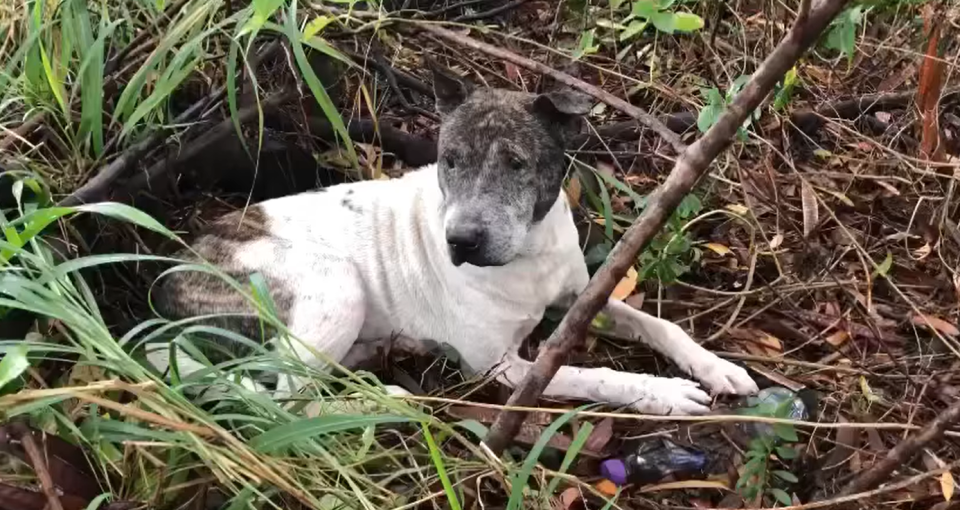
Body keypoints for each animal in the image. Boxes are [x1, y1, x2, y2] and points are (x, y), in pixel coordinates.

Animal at [150, 66, 760, 414]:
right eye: (450, 159)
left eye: (516, 163)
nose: (462, 241)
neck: (528, 254)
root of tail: (165, 279)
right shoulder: (499, 368)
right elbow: (592, 375)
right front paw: (660, 393)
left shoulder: (578, 296)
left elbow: (659, 324)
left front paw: (714, 366)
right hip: (334, 284)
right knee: (283, 404)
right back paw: (385, 401)